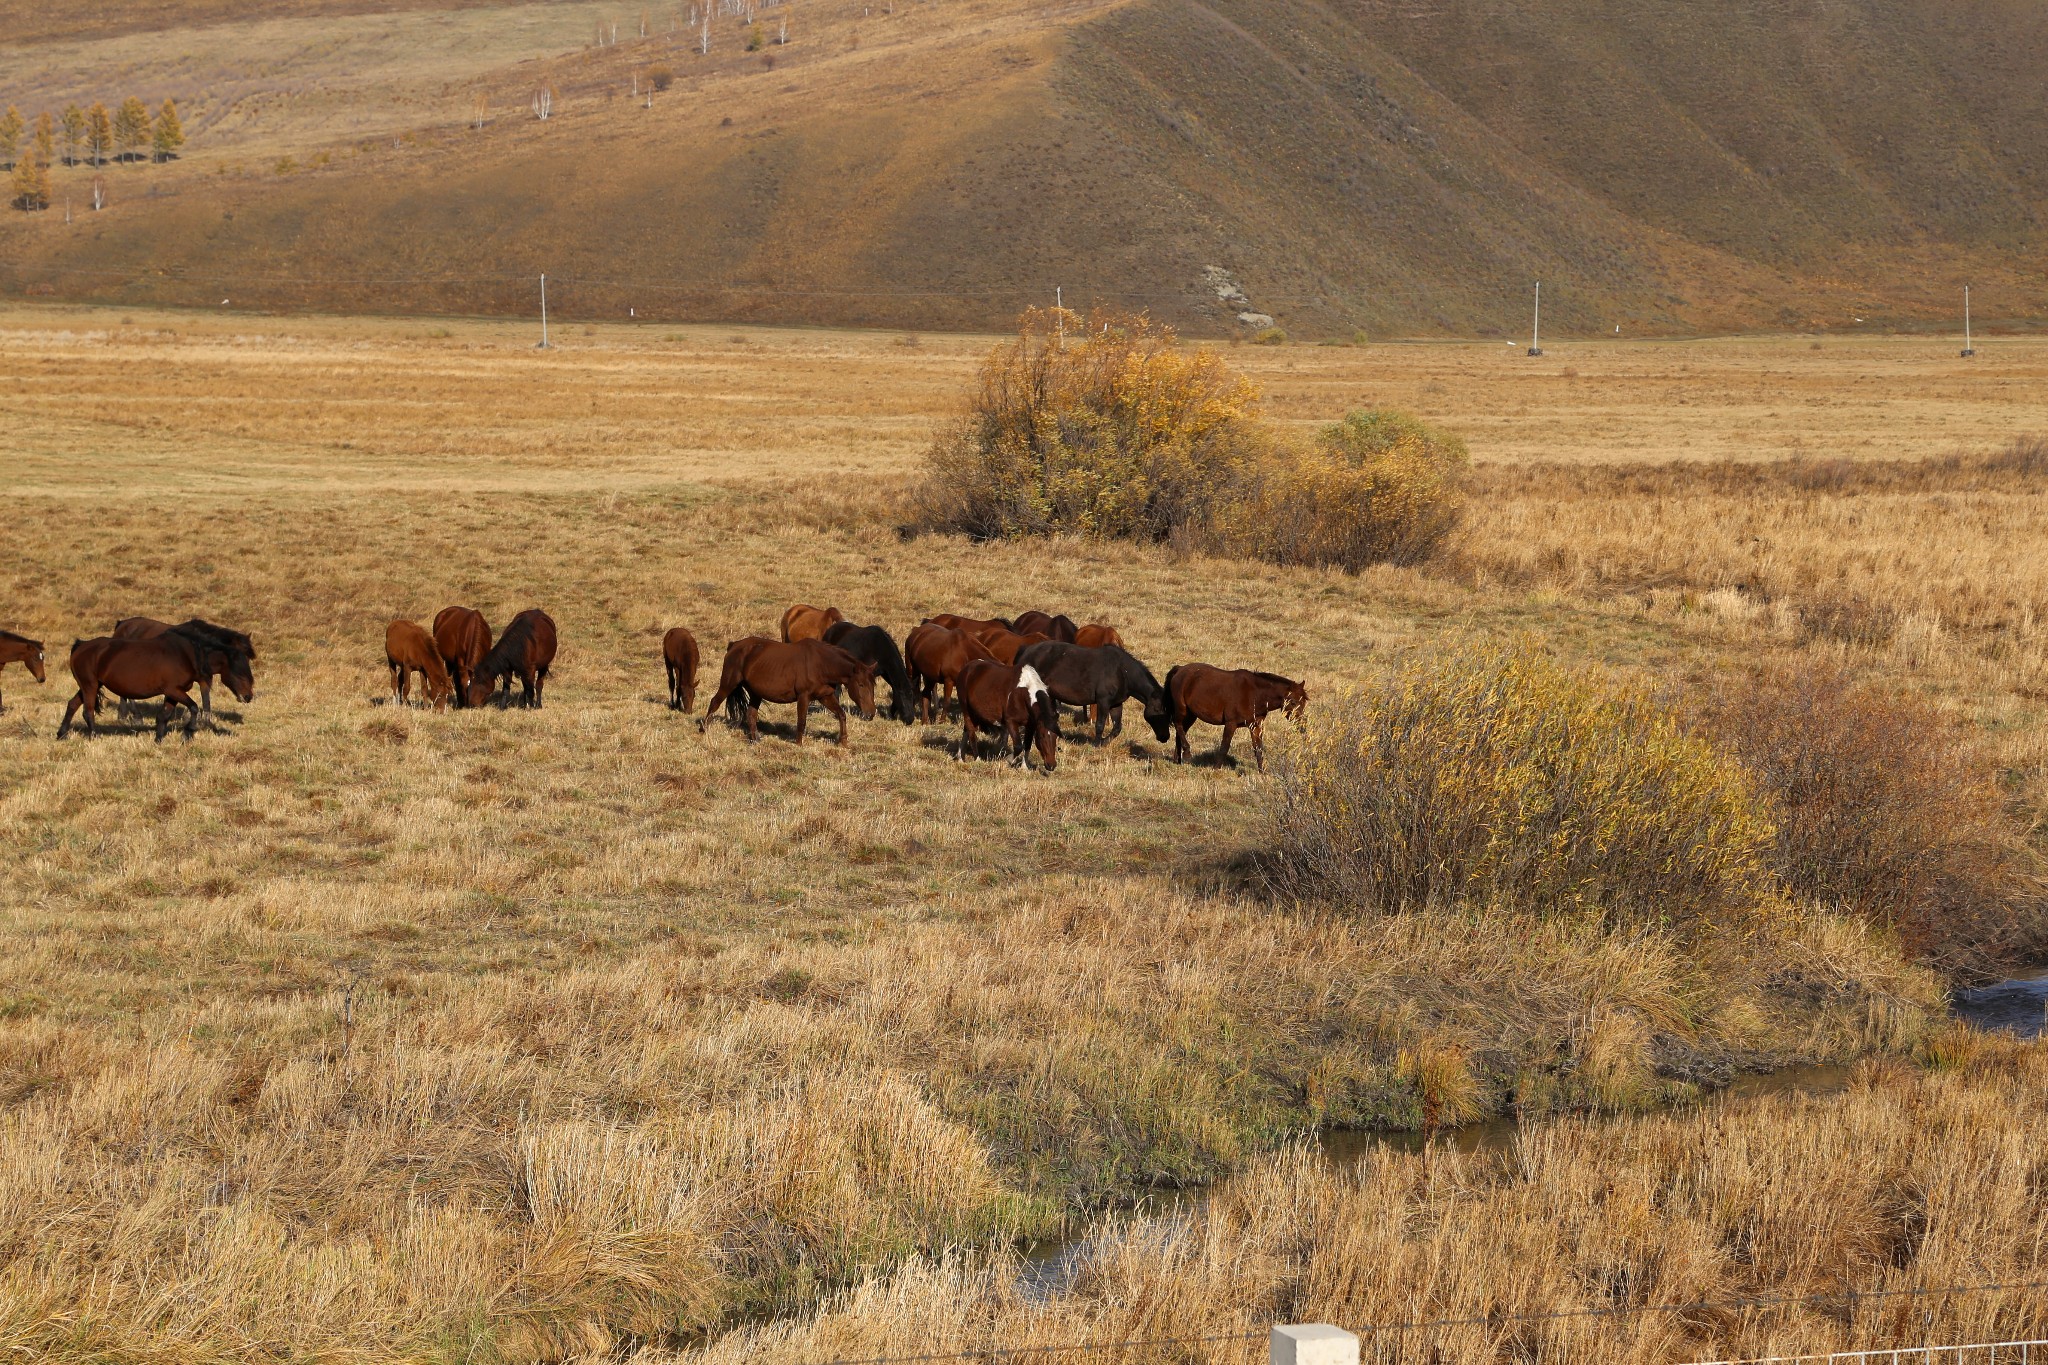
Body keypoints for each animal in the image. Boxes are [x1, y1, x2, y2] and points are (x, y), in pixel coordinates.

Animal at [60, 634, 256, 740]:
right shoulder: (174, 690)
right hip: (90, 685)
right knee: (88, 712)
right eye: (239, 673)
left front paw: (159, 739)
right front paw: (188, 733)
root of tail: (81, 645)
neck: (185, 654)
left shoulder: (173, 693)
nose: (248, 696)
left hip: (88, 686)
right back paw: (94, 736)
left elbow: (164, 715)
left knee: (72, 705)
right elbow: (193, 707)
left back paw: (61, 734)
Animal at [700, 642, 876, 749]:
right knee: (714, 702)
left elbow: (841, 714)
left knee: (751, 714)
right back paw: (704, 730)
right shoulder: (803, 697)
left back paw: (755, 739)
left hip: (755, 693)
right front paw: (799, 744)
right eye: (861, 684)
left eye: (873, 685)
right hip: (728, 684)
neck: (821, 664)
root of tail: (734, 645)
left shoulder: (825, 696)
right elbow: (801, 721)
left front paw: (844, 742)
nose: (871, 714)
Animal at [1011, 642, 1171, 740]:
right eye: (1158, 710)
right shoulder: (1103, 702)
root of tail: (1026, 650)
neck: (1122, 671)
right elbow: (1099, 725)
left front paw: (1104, 742)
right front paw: (1096, 744)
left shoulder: (1116, 704)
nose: (1165, 737)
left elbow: (1117, 728)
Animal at [1163, 667, 1302, 773]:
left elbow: (1258, 748)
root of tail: (1180, 669)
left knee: (1180, 731)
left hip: (1192, 715)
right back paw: (1187, 754)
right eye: (1293, 702)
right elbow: (1225, 746)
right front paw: (1216, 768)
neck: (1255, 694)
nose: (1301, 726)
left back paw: (1177, 760)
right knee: (1178, 725)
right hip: (1182, 710)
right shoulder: (1231, 724)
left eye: (1304, 702)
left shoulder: (1255, 725)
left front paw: (1262, 772)